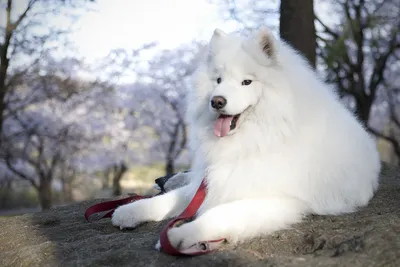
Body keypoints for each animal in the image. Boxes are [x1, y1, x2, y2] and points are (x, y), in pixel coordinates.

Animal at [111, 26, 382, 252]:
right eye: (218, 80)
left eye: (246, 82)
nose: (217, 101)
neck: (253, 139)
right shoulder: (214, 180)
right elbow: (168, 200)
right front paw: (129, 211)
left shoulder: (278, 199)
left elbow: (217, 215)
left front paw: (180, 235)